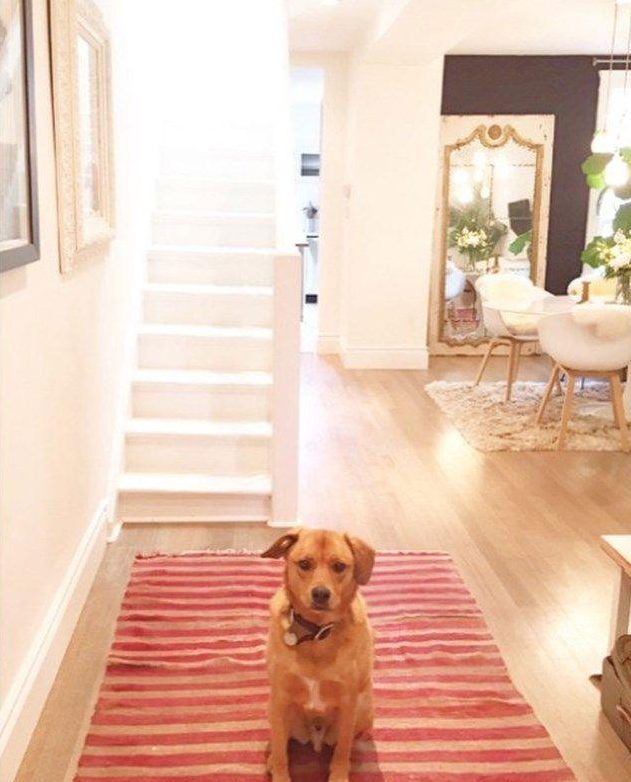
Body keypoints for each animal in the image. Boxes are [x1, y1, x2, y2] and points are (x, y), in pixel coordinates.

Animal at [262, 528, 376, 782]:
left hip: (365, 709)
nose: (321, 594)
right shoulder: (280, 697)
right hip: (274, 709)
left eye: (339, 566)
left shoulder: (348, 702)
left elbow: (342, 750)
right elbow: (281, 751)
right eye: (304, 563)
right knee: (280, 741)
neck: (316, 633)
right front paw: (279, 772)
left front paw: (339, 775)